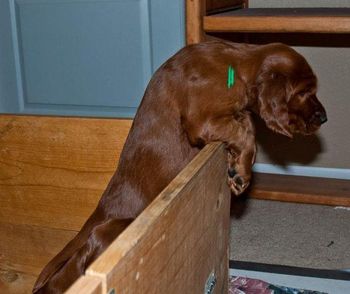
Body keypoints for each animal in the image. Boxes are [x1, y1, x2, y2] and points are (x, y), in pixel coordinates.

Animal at [32, 40, 326, 292]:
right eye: (304, 92)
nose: (324, 117)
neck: (237, 65)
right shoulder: (201, 120)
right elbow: (244, 132)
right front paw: (241, 174)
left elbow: (247, 125)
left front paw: (237, 168)